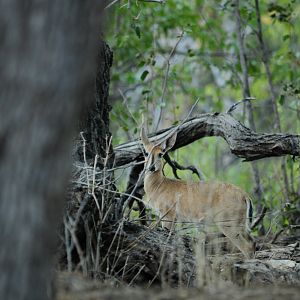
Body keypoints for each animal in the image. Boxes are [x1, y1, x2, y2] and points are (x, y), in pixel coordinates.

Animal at [141, 126, 255, 258]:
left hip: (229, 225)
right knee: (252, 242)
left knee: (247, 247)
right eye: (146, 152)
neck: (159, 185)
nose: (151, 168)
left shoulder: (168, 216)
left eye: (161, 154)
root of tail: (245, 196)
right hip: (241, 225)